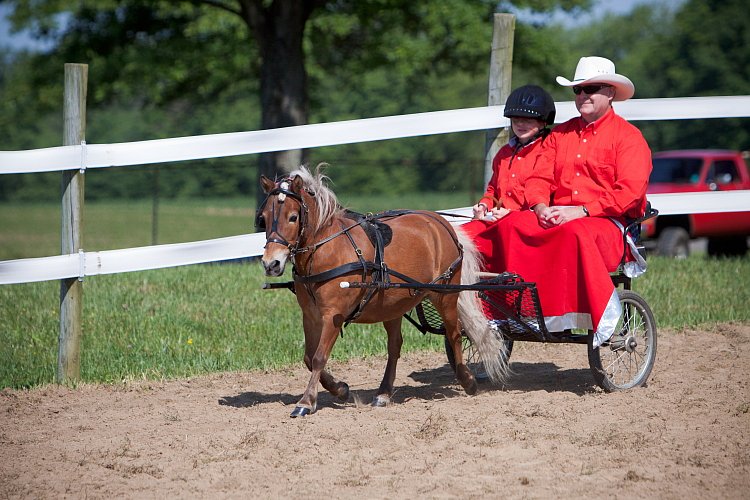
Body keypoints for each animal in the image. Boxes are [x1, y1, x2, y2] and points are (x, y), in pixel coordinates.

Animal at [258, 166, 512, 416]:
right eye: (264, 218)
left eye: (293, 217)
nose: (271, 263)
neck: (327, 249)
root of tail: (442, 222)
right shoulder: (310, 315)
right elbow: (309, 358)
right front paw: (340, 389)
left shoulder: (333, 314)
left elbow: (320, 357)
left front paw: (306, 402)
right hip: (392, 303)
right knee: (395, 346)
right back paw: (383, 393)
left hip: (446, 294)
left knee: (455, 334)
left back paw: (467, 380)